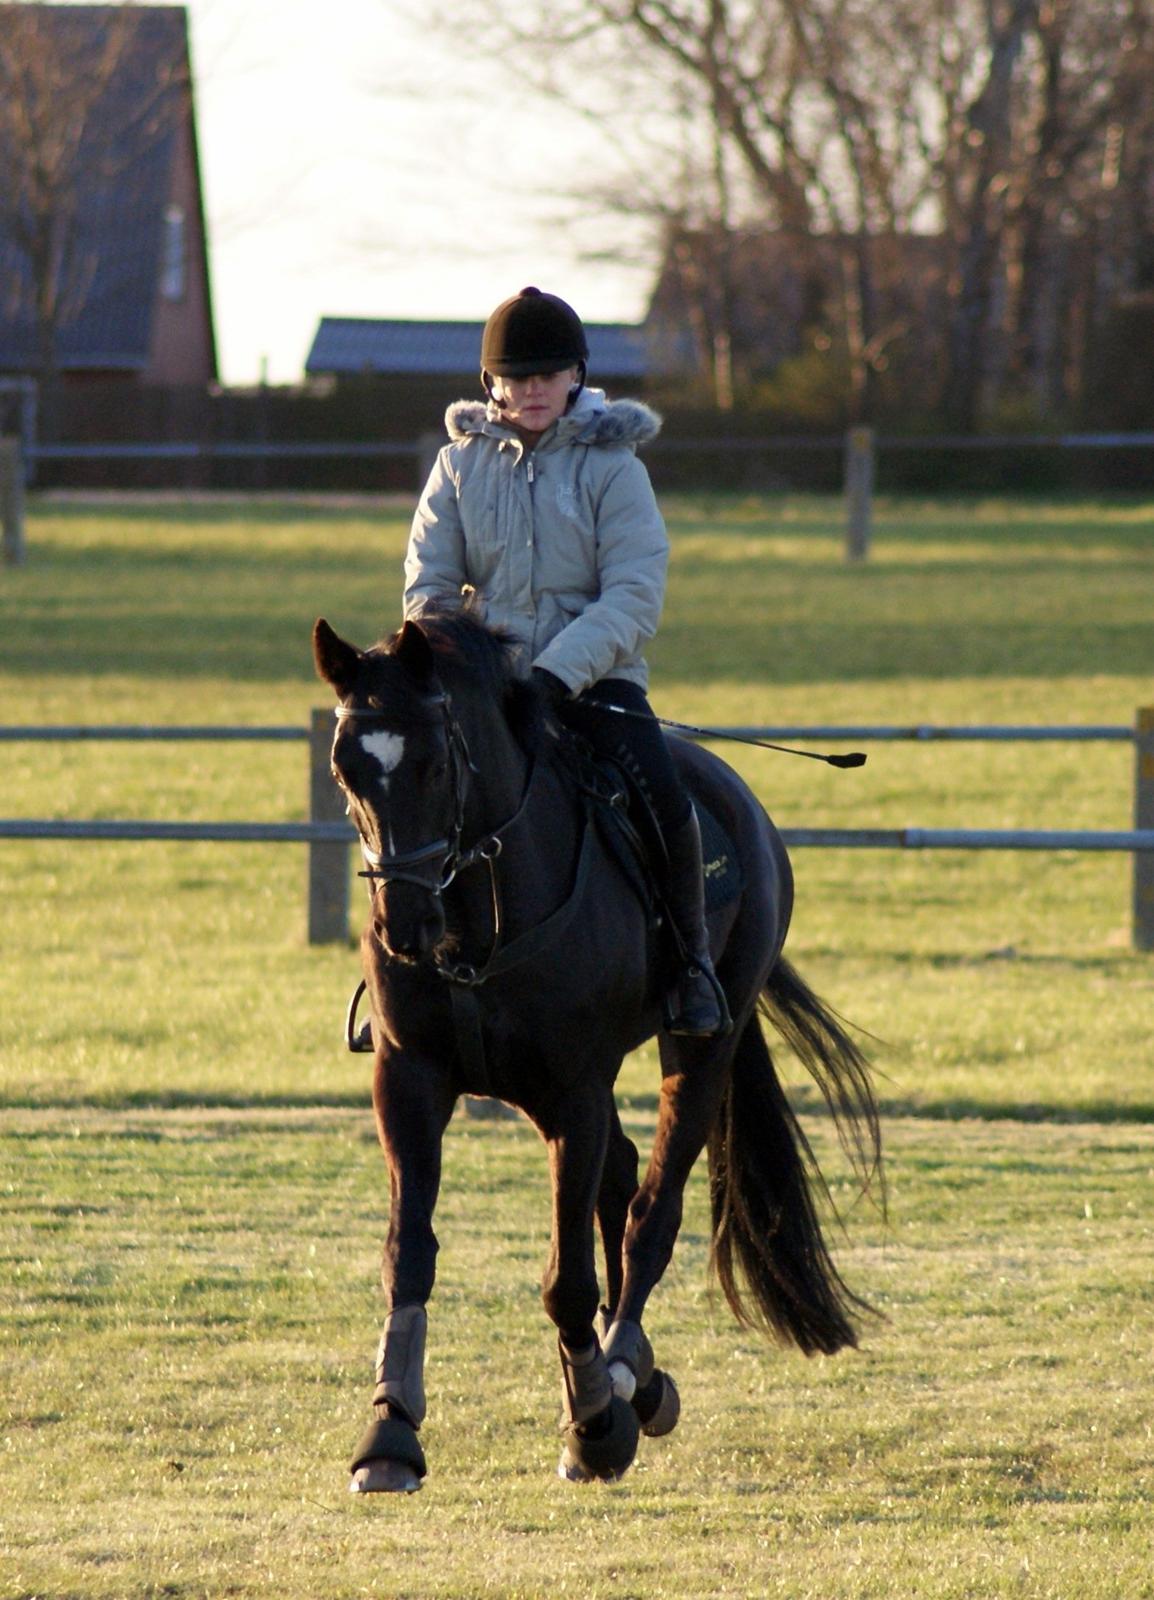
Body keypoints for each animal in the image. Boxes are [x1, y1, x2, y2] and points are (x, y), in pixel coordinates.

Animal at [310, 608, 877, 1484]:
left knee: (651, 1211)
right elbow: (408, 1254)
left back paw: (621, 1370)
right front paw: (390, 1431)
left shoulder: (573, 1090)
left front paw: (594, 1426)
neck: (476, 911)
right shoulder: (410, 1080)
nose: (404, 923)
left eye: (435, 763)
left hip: (700, 1053)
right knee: (620, 1183)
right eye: (346, 770)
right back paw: (634, 1378)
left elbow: (569, 1281)